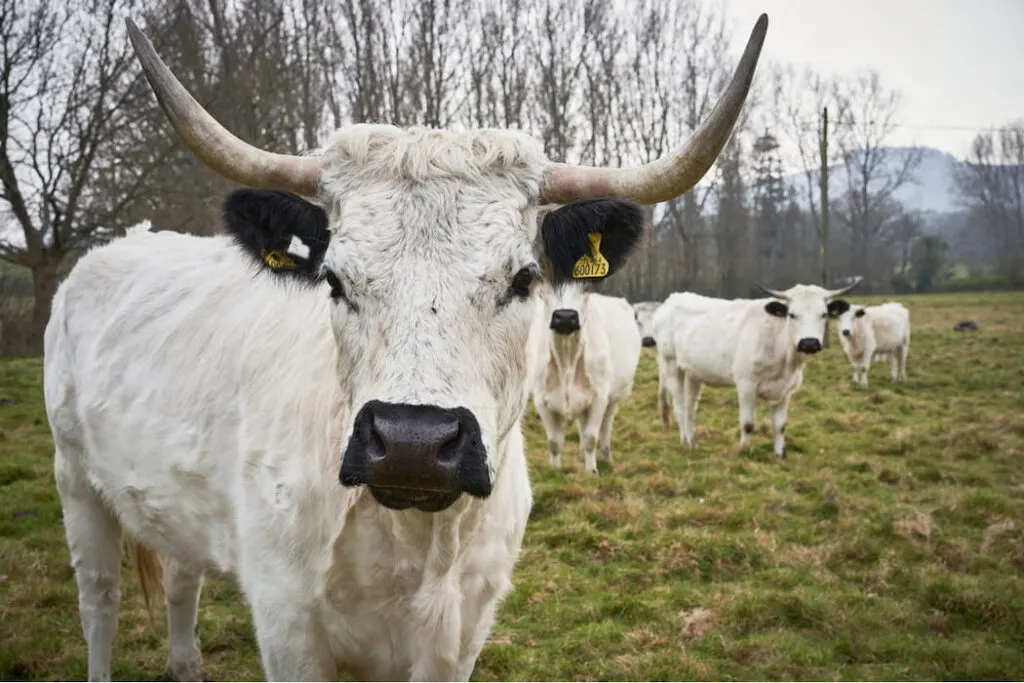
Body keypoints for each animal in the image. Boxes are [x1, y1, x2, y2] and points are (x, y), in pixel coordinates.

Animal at [44, 14, 770, 683]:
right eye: (333, 279)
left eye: (523, 278)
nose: (413, 443)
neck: (419, 541)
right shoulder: (287, 626)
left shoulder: (460, 635)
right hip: (76, 482)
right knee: (99, 604)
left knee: (181, 581)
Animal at [651, 278, 860, 458]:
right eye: (792, 314)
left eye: (823, 314)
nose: (809, 343)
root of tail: (672, 299)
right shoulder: (746, 383)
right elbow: (748, 423)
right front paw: (744, 450)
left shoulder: (786, 389)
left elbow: (780, 425)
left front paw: (780, 454)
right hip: (671, 365)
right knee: (679, 405)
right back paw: (685, 441)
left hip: (693, 373)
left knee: (690, 407)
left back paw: (693, 441)